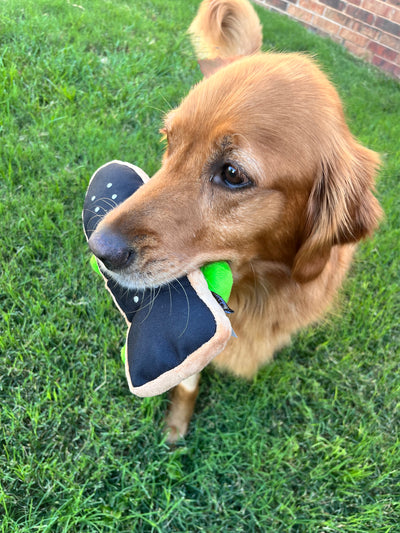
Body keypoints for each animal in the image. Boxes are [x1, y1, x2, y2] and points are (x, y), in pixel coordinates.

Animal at [89, 0, 382, 440]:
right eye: (169, 142)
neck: (257, 284)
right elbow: (189, 378)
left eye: (232, 174)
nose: (99, 249)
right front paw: (177, 426)